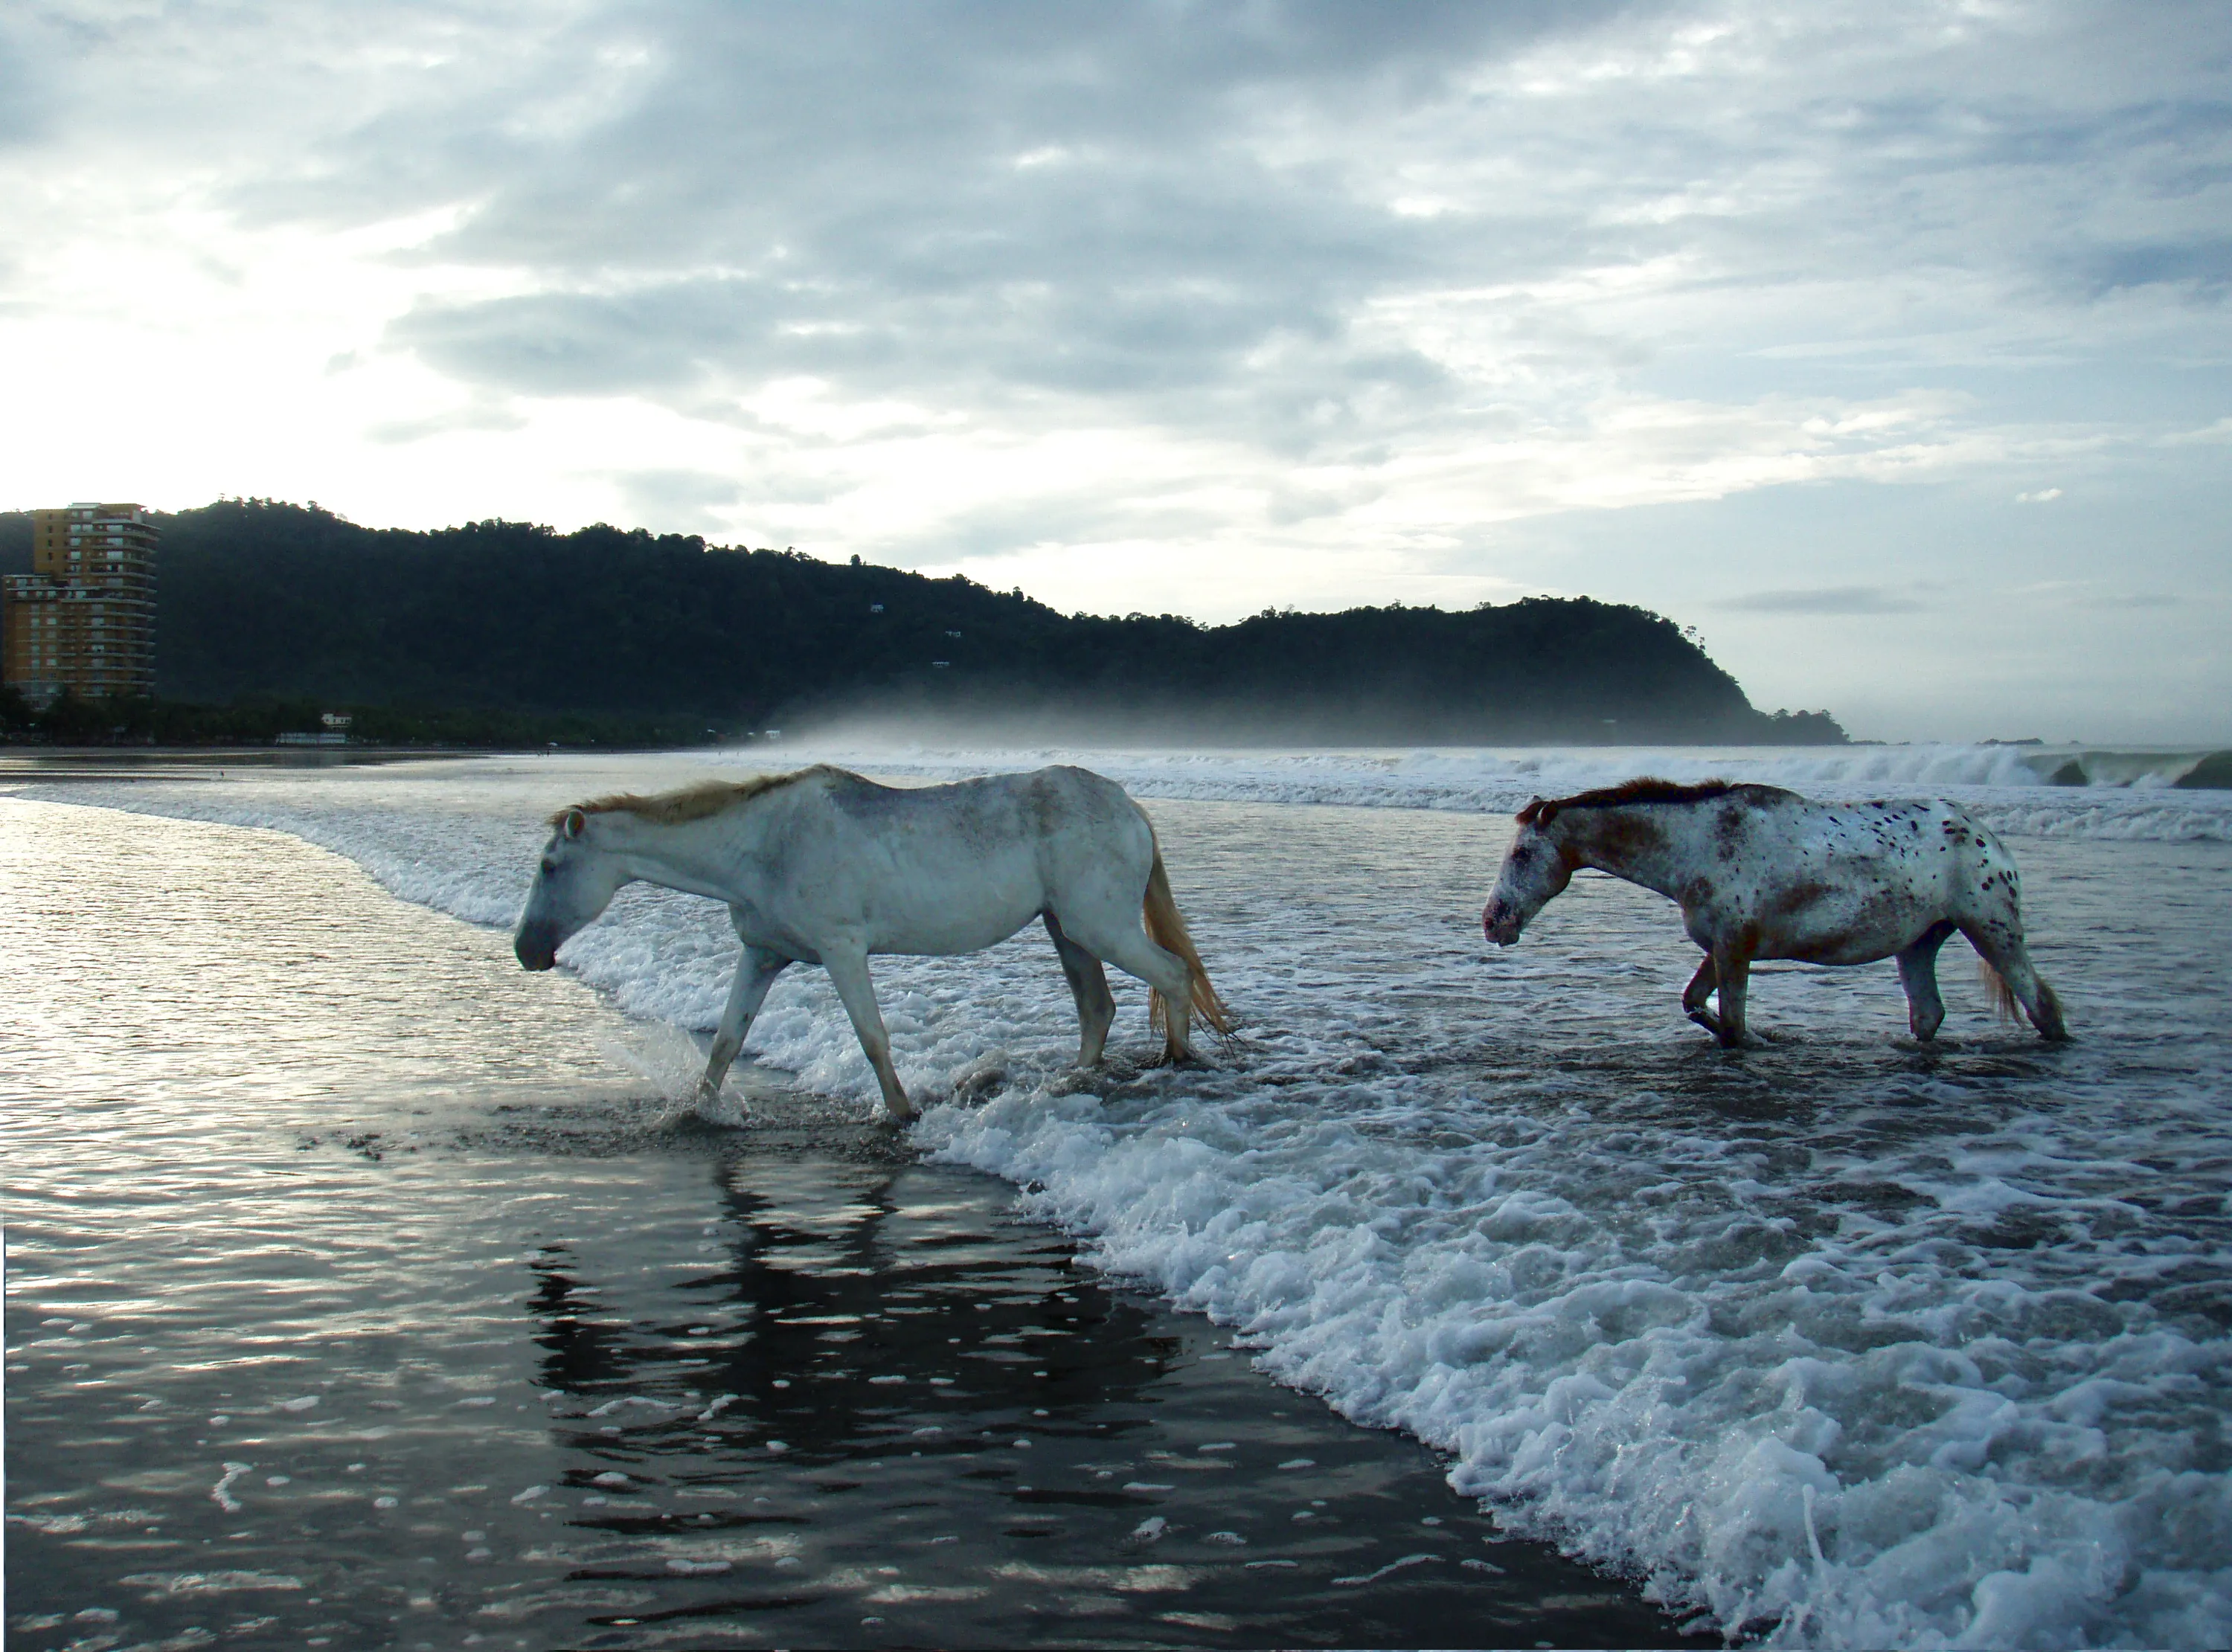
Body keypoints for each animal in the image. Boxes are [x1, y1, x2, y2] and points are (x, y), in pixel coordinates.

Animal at [511, 768, 1232, 1116]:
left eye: (549, 866)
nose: (526, 950)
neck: (763, 845)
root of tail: (1130, 806)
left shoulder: (841, 949)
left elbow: (872, 1037)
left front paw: (901, 1112)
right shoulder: (761, 956)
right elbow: (724, 1043)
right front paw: (697, 1112)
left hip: (1097, 926)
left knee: (1171, 975)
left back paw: (1175, 1063)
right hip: (1066, 928)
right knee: (1096, 1008)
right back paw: (1074, 1080)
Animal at [1482, 777, 2071, 1044]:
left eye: (1523, 855)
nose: (1493, 922)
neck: (1698, 844)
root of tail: (1986, 834)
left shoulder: (1734, 949)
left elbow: (1733, 1023)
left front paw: (1754, 1040)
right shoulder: (1721, 948)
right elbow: (1695, 1004)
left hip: (1992, 929)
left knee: (2042, 1005)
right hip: (1918, 943)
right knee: (1927, 1014)